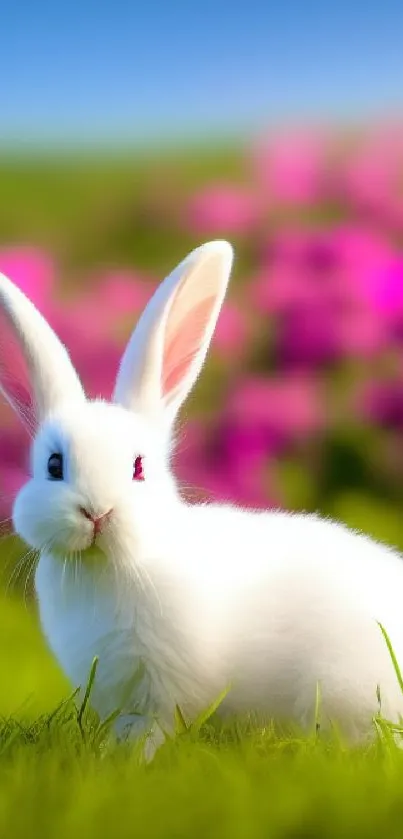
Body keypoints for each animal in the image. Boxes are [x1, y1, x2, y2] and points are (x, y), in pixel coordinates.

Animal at [0, 238, 403, 756]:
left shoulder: (163, 685)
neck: (112, 564)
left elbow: (154, 729)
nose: (97, 512)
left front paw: (134, 760)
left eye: (139, 468)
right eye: (54, 466)